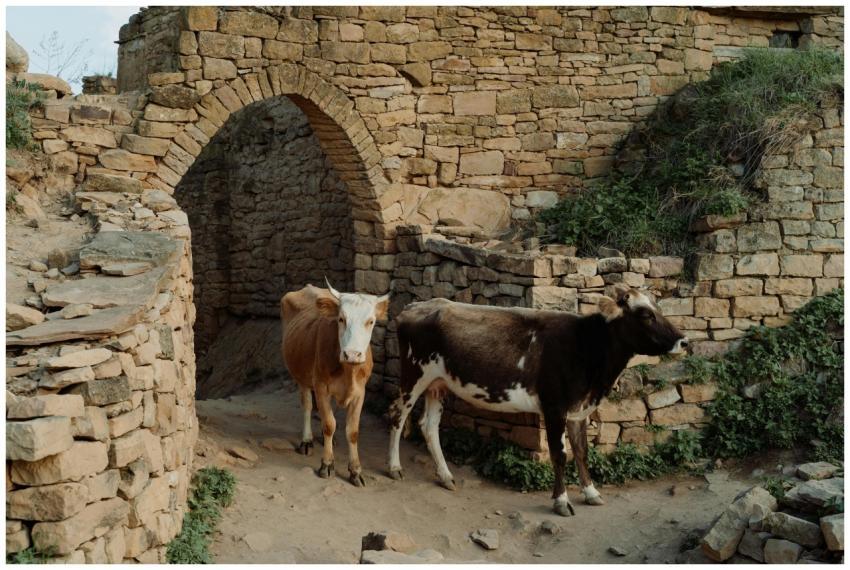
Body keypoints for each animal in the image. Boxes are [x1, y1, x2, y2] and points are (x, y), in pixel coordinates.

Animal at [281, 279, 388, 487]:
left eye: (371, 321)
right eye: (341, 319)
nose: (352, 354)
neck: (348, 371)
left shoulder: (360, 392)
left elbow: (352, 431)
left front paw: (355, 470)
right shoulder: (321, 387)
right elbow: (329, 424)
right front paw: (327, 464)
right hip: (301, 377)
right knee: (307, 406)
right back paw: (307, 441)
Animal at [387, 285, 688, 516]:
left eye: (658, 308)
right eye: (645, 315)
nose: (684, 341)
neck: (587, 349)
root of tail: (415, 305)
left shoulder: (578, 410)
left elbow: (582, 452)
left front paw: (591, 493)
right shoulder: (555, 407)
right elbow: (559, 455)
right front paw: (561, 501)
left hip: (438, 383)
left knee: (428, 425)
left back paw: (446, 476)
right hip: (414, 374)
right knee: (397, 416)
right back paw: (394, 467)